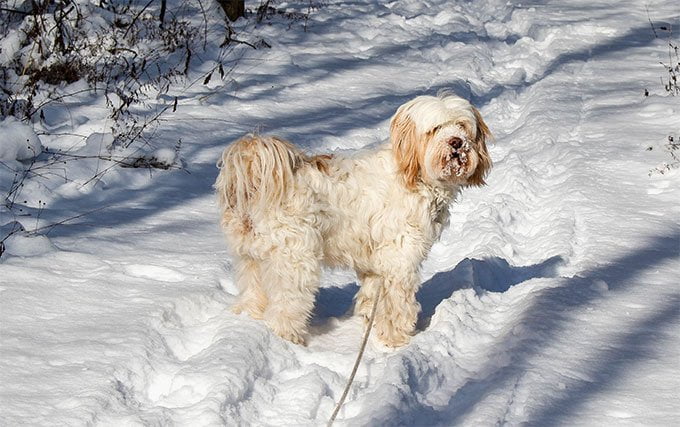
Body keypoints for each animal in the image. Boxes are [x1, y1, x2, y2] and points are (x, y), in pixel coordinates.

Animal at [215, 93, 492, 348]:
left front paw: (370, 322)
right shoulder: (399, 258)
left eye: (461, 126)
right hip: (294, 262)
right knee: (284, 309)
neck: (413, 174)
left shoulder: (375, 262)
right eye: (435, 129)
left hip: (251, 260)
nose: (457, 142)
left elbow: (371, 294)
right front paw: (396, 339)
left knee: (253, 295)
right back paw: (288, 340)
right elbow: (396, 304)